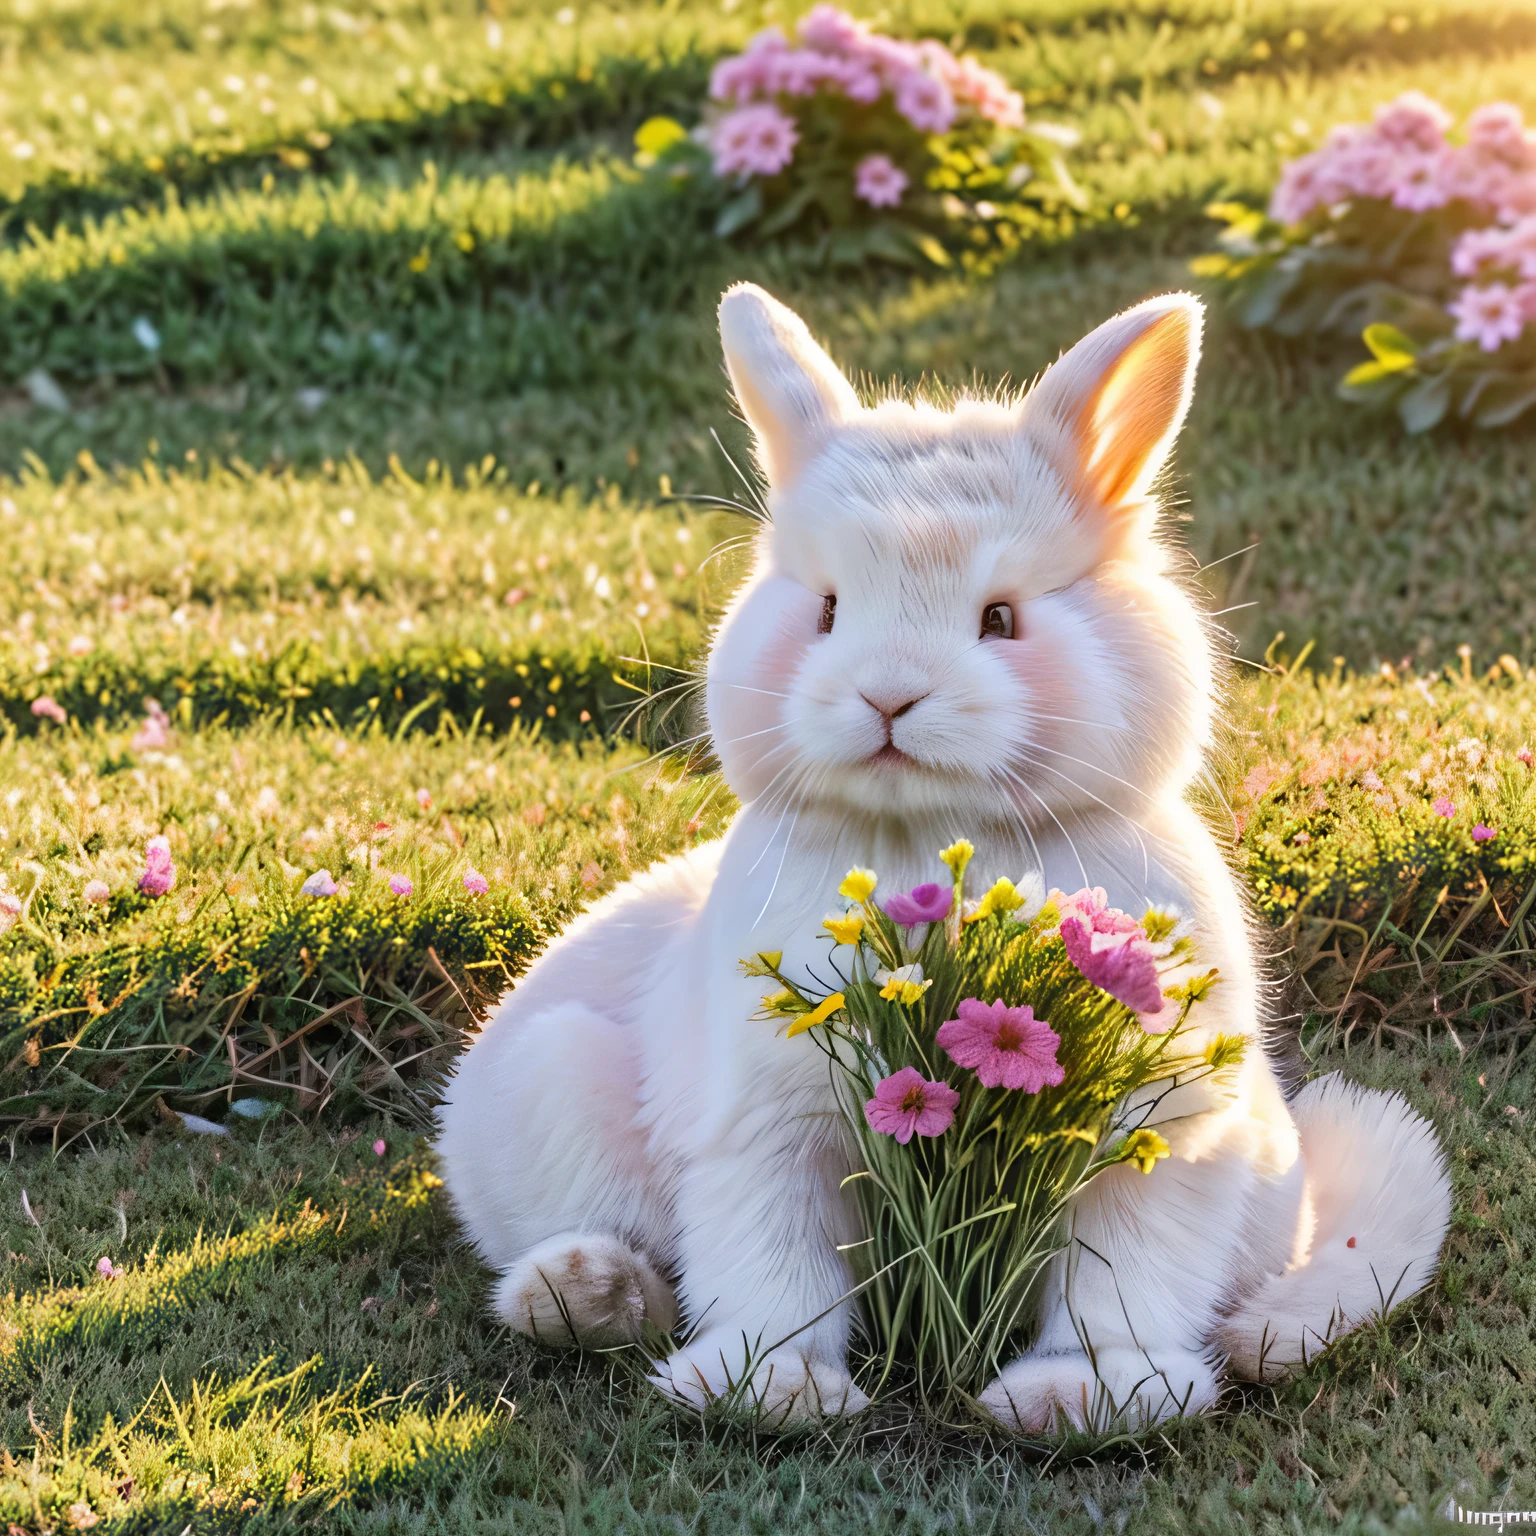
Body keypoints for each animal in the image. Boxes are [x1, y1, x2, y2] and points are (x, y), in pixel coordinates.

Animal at [436, 279, 1449, 1425]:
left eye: (1001, 616)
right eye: (828, 607)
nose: (889, 695)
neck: (929, 836)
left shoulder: (1164, 1135)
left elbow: (1127, 1277)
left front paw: (1085, 1398)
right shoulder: (765, 1125)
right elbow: (773, 1265)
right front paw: (769, 1387)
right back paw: (587, 1292)